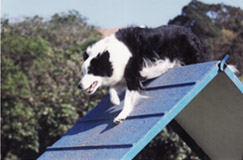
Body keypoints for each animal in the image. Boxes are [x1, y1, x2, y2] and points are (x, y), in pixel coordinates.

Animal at [77, 25, 209, 124]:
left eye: (91, 71)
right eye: (83, 72)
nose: (79, 86)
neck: (113, 54)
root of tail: (194, 35)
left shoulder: (132, 75)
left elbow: (128, 98)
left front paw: (121, 116)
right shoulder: (122, 76)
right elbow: (112, 89)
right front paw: (115, 101)